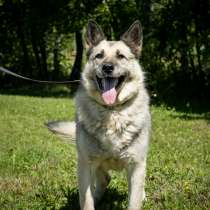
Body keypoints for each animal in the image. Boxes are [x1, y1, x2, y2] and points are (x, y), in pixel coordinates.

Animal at [47, 20, 151, 210]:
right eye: (99, 56)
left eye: (120, 56)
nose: (107, 67)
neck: (111, 111)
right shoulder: (85, 164)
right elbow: (86, 200)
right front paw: (91, 201)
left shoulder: (136, 165)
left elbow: (134, 200)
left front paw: (139, 198)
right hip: (95, 165)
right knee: (104, 180)